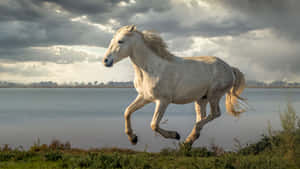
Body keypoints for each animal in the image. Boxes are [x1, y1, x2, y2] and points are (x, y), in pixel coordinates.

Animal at [102, 25, 246, 147]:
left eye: (120, 41)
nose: (105, 61)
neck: (151, 68)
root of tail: (229, 68)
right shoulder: (145, 97)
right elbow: (127, 112)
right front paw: (133, 139)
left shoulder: (163, 101)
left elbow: (154, 124)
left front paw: (175, 135)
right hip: (201, 99)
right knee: (202, 117)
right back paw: (189, 141)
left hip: (214, 96)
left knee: (214, 114)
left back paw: (189, 137)